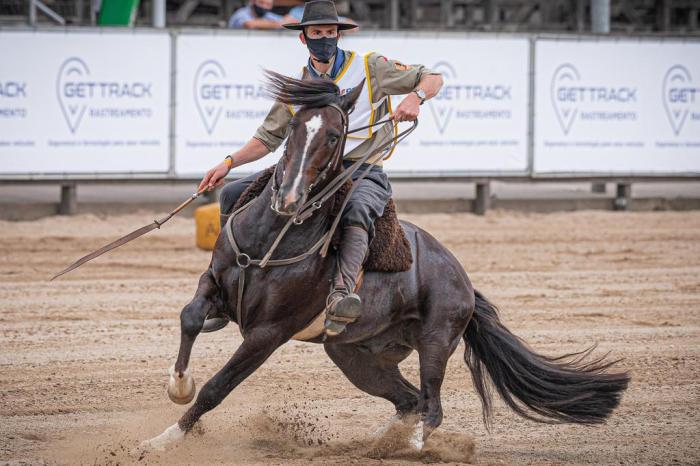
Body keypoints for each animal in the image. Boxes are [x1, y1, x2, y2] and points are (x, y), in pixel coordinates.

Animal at [142, 73, 628, 452]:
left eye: (333, 136)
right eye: (294, 126)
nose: (291, 197)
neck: (271, 237)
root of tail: (463, 279)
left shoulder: (268, 335)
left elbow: (217, 387)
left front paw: (163, 440)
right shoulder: (214, 284)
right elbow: (189, 317)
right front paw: (177, 386)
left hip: (435, 341)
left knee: (431, 406)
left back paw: (411, 446)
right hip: (355, 355)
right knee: (408, 400)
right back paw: (377, 443)